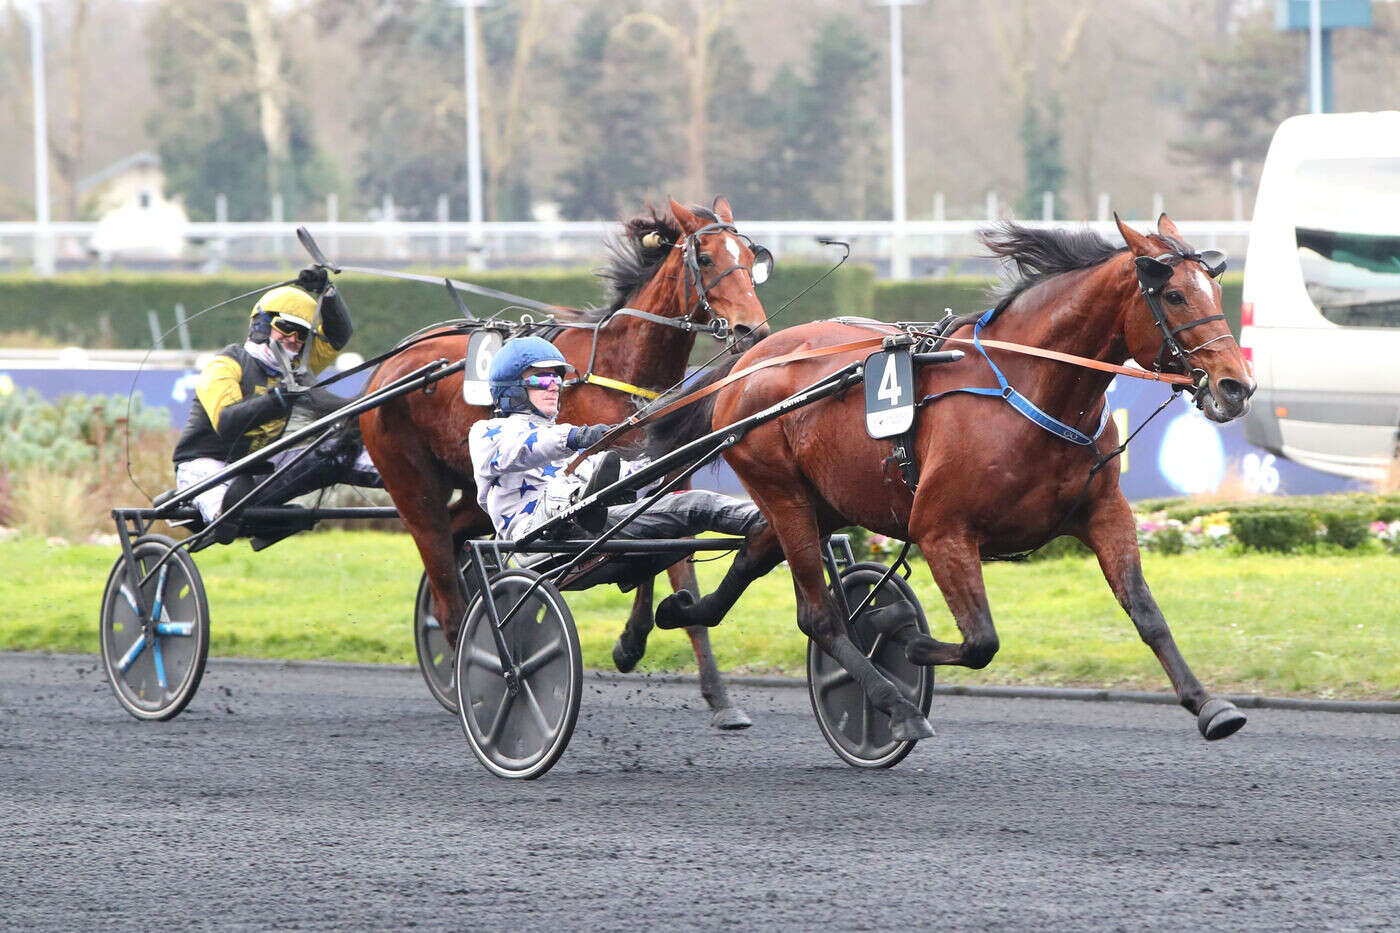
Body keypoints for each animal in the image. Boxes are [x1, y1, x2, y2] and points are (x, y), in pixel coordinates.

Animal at [355, 197, 772, 728]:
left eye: (753, 258)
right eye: (705, 258)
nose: (753, 330)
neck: (619, 368)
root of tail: (388, 366)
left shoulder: (667, 472)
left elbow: (670, 560)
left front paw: (685, 674)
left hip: (470, 490)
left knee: (456, 539)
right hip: (411, 483)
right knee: (442, 573)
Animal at [644, 215, 1260, 739]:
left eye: (1215, 292)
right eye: (1173, 294)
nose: (1237, 386)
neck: (1025, 389)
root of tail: (751, 359)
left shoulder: (1104, 512)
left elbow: (1146, 612)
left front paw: (1209, 704)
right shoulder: (942, 530)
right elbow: (980, 639)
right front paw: (904, 634)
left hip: (820, 500)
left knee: (751, 553)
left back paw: (680, 612)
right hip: (783, 491)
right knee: (819, 617)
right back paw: (893, 706)